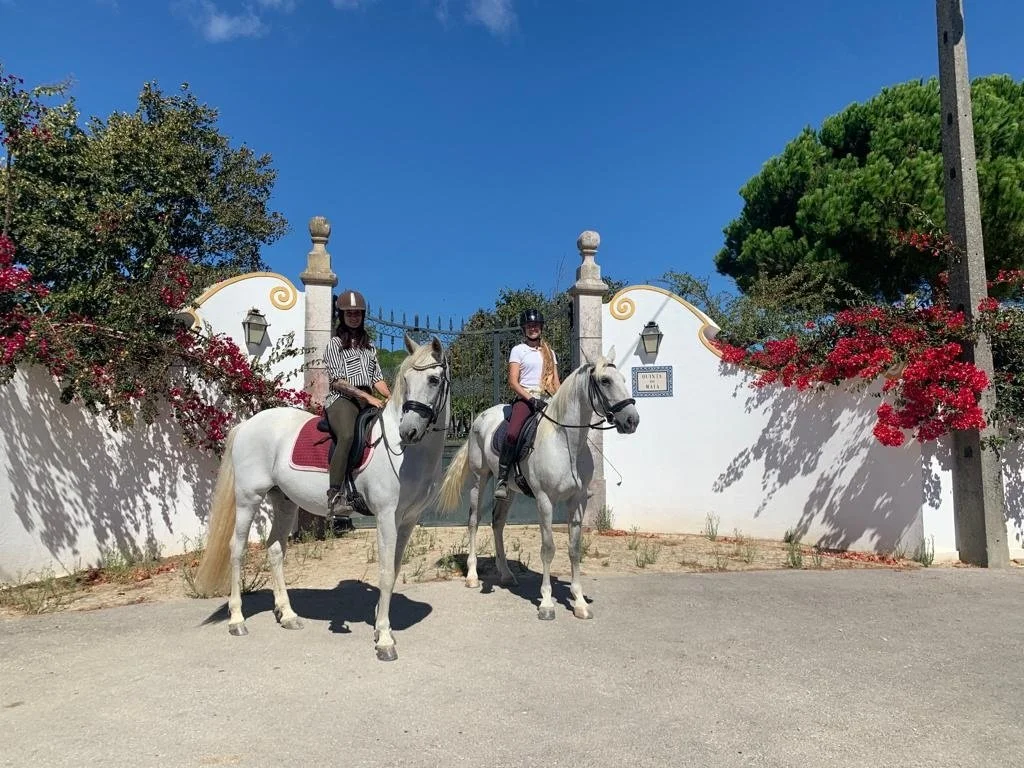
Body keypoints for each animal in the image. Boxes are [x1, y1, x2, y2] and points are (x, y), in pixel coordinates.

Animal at [193, 333, 451, 661]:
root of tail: (248, 424)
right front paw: (384, 640)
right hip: (248, 498)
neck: (403, 453)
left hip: (283, 501)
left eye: (433, 379)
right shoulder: (385, 517)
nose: (409, 431)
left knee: (275, 550)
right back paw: (237, 620)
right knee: (236, 550)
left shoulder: (408, 520)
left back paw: (288, 615)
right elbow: (384, 572)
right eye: (405, 379)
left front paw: (381, 625)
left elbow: (392, 570)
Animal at [438, 347, 639, 620]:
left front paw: (579, 603)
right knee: (473, 522)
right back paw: (472, 576)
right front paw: (546, 603)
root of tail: (481, 417)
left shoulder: (577, 501)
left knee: (497, 523)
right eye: (605, 381)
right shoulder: (545, 500)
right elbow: (548, 548)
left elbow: (574, 549)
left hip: (509, 490)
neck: (566, 442)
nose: (632, 420)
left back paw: (506, 574)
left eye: (624, 380)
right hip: (480, 478)